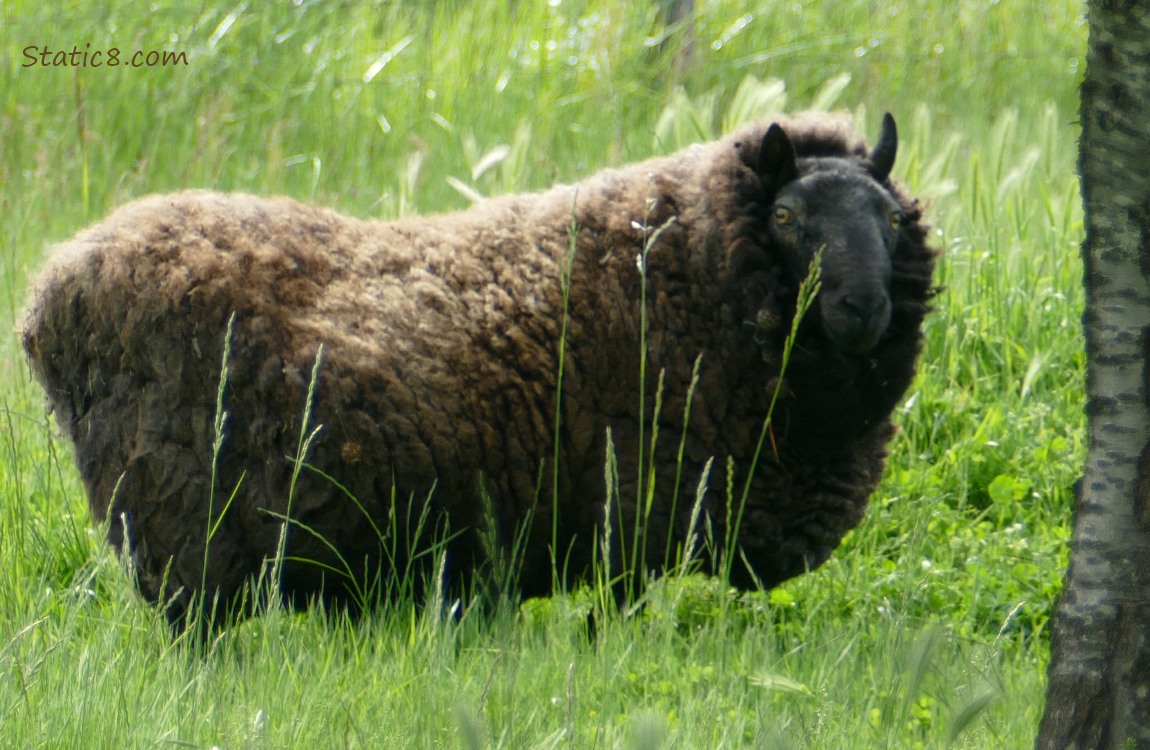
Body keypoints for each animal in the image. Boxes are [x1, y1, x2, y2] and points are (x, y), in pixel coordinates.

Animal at [20, 111, 933, 634]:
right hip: (180, 528)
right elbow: (617, 619)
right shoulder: (635, 513)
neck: (685, 261)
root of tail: (55, 286)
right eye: (786, 216)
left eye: (891, 219)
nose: (865, 307)